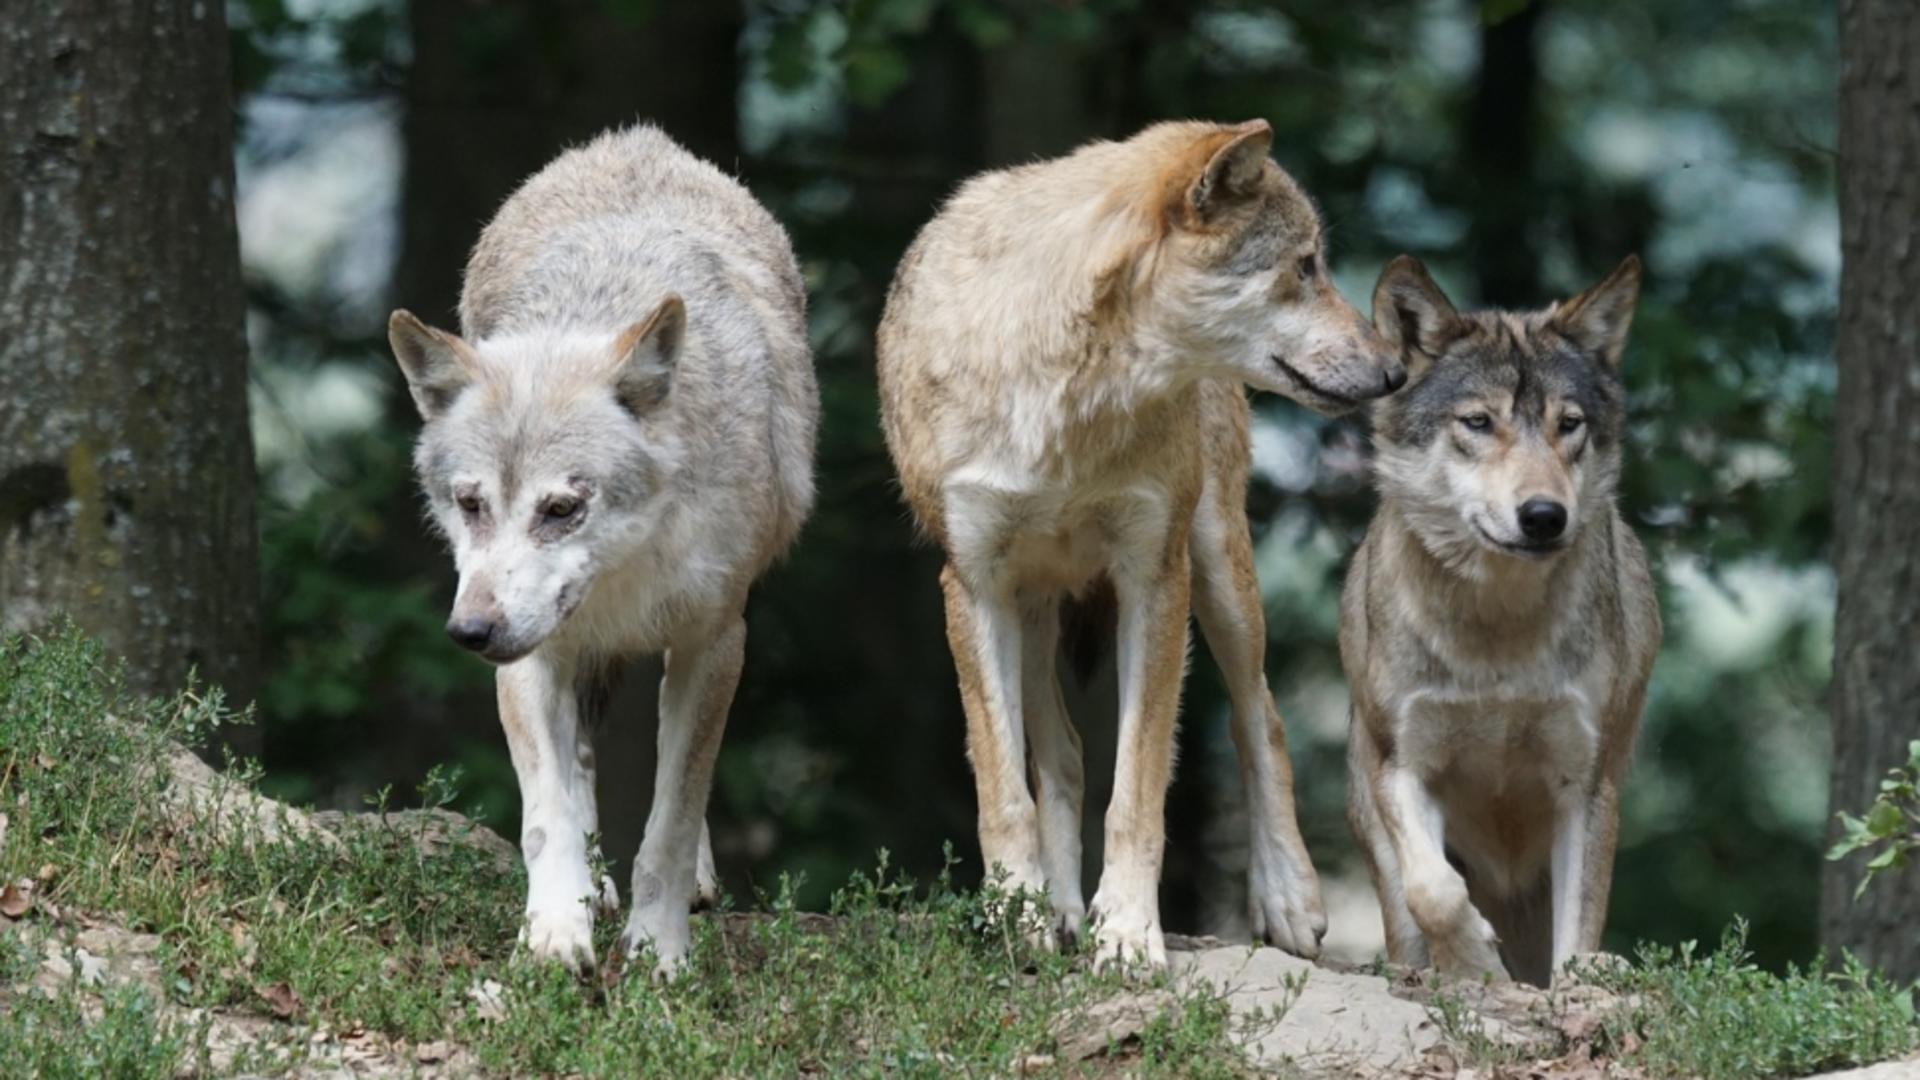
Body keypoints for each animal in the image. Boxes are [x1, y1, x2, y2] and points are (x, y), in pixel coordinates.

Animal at [385, 123, 814, 976]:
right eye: (472, 504)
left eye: (561, 509)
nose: (469, 632)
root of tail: (634, 138)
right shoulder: (531, 655)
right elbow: (547, 812)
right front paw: (556, 932)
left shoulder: (716, 641)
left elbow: (672, 819)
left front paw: (659, 951)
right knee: (579, 763)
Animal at [879, 119, 1405, 968]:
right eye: (1305, 266)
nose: (1394, 371)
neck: (1071, 399)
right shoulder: (973, 585)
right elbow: (1003, 787)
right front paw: (1018, 915)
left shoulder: (1154, 578)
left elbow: (1138, 789)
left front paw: (1126, 932)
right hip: (1032, 608)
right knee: (1061, 754)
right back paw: (1058, 911)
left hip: (1219, 573)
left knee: (1260, 717)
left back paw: (1288, 899)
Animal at [1344, 253, 1658, 983]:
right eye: (1479, 422)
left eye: (1568, 424)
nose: (1544, 516)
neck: (1497, 633)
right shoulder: (1401, 764)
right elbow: (1433, 890)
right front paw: (1475, 963)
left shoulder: (1586, 783)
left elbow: (1579, 934)